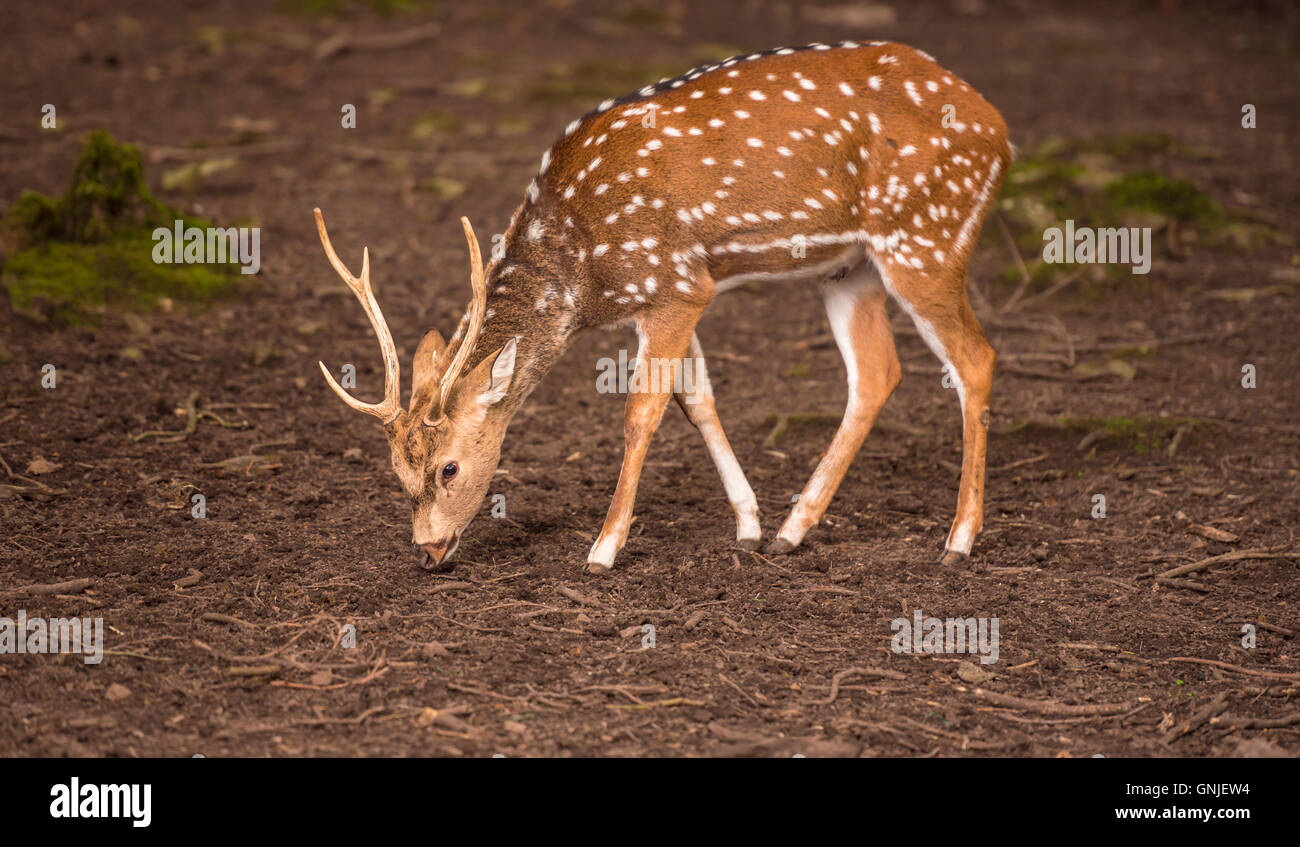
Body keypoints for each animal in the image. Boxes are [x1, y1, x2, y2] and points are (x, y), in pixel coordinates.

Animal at [316, 40, 1011, 574]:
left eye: (449, 468)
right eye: (397, 472)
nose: (428, 552)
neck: (583, 271)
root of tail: (1000, 130)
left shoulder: (677, 282)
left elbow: (643, 411)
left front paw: (603, 549)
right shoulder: (679, 289)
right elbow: (696, 399)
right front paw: (748, 525)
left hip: (925, 236)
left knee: (976, 358)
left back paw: (958, 541)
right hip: (850, 268)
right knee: (876, 372)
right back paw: (794, 531)